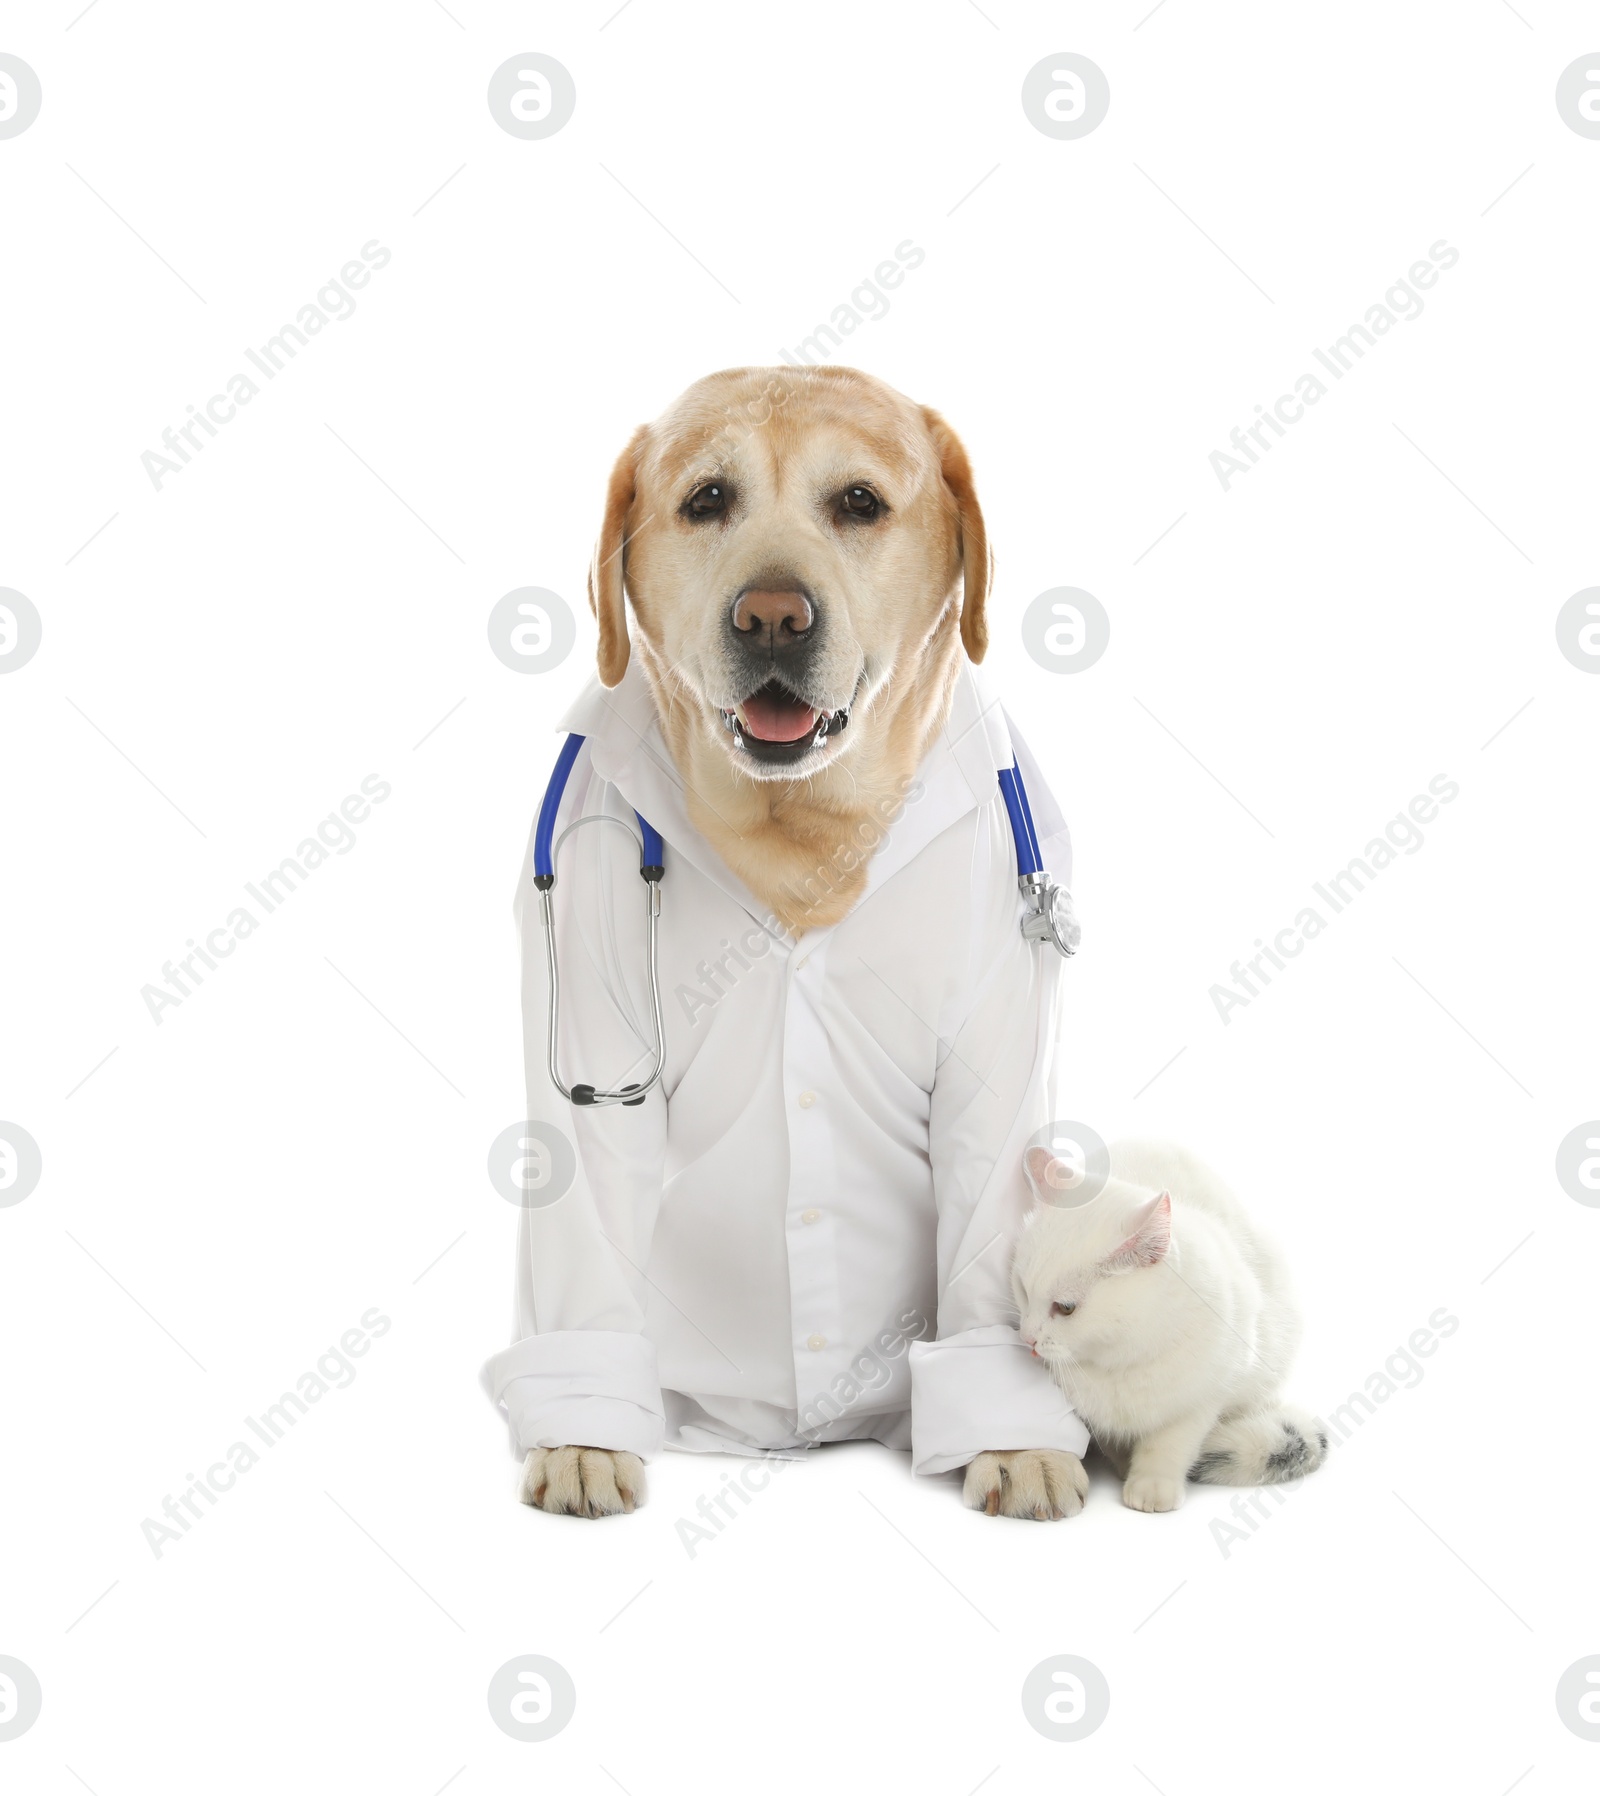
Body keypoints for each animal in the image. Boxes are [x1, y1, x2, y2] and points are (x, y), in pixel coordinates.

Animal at [524, 368, 1091, 1530]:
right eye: (706, 500)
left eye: (859, 503)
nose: (773, 616)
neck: (802, 836)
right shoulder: (587, 1029)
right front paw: (582, 1439)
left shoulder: (1000, 1050)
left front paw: (1014, 1439)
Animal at [1012, 1142, 1328, 1508]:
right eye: (1022, 1289)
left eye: (1065, 1308)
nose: (1027, 1337)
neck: (1119, 1361)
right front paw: (1123, 1463)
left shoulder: (1204, 1397)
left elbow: (1169, 1443)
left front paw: (1151, 1484)